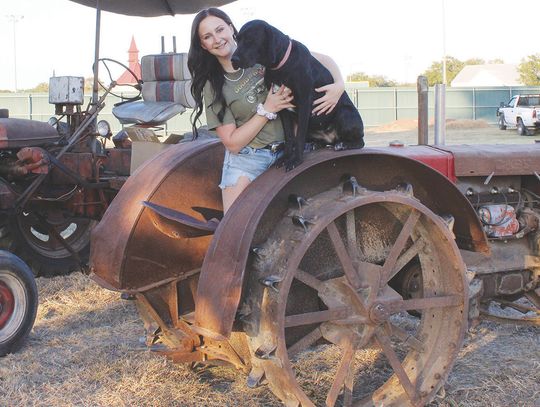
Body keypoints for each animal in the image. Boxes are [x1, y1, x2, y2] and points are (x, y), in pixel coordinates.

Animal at [230, 20, 364, 171]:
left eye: (250, 40)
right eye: (237, 39)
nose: (233, 60)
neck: (281, 67)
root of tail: (332, 138)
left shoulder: (305, 104)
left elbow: (299, 137)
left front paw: (296, 160)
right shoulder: (281, 107)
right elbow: (289, 136)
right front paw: (285, 157)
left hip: (345, 113)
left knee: (360, 141)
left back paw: (343, 144)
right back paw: (315, 144)